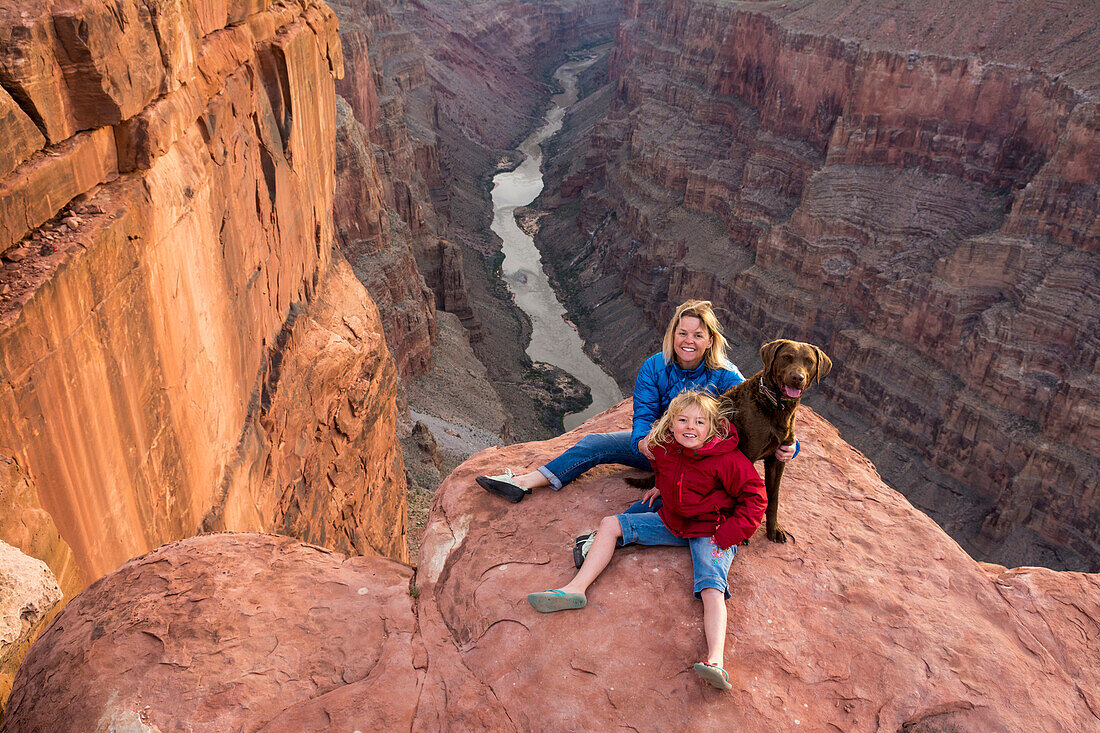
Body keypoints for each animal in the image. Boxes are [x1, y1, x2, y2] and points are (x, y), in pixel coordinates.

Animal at [717, 338, 827, 539]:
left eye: (809, 361)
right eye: (787, 357)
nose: (797, 377)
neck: (777, 406)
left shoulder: (778, 459)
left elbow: (773, 497)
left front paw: (773, 529)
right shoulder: (747, 453)